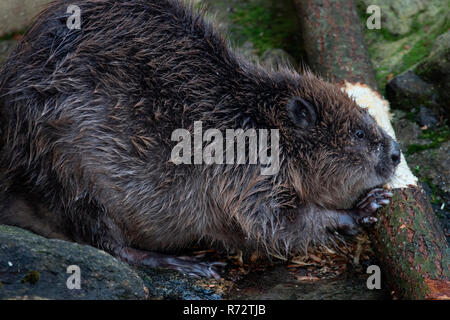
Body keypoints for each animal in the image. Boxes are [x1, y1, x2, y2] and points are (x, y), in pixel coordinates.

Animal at [0, 0, 400, 278]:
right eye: (359, 134)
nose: (396, 152)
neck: (255, 120)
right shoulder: (248, 171)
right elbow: (275, 224)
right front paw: (365, 207)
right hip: (67, 168)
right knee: (108, 243)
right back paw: (190, 263)